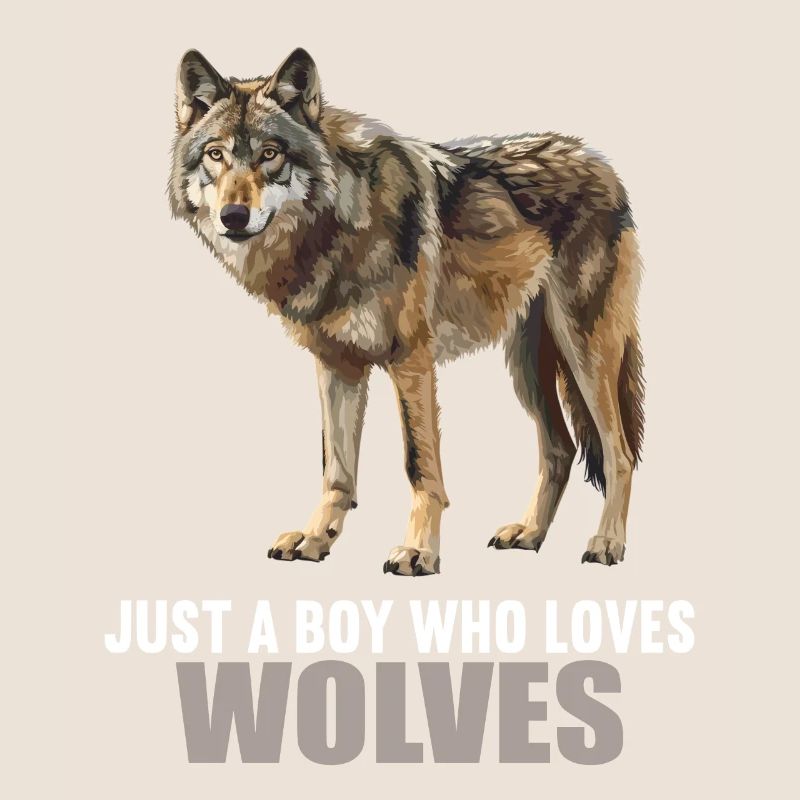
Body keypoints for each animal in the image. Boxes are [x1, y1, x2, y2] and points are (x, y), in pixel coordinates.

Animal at [169, 48, 644, 575]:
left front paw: (419, 550)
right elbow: (336, 469)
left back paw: (607, 542)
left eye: (270, 154)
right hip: (527, 367)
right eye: (216, 155)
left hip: (584, 353)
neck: (340, 227)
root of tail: (600, 163)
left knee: (620, 453)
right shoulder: (336, 365)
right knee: (560, 449)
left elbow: (419, 465)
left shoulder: (411, 360)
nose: (233, 217)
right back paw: (529, 533)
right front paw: (316, 539)